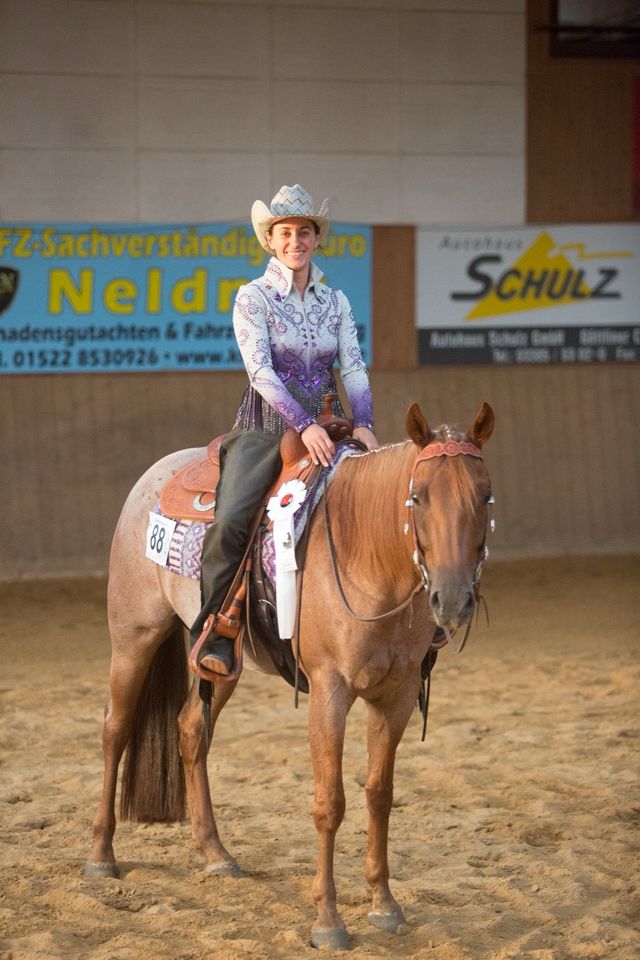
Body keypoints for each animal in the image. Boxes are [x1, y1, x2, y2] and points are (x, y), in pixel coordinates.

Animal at [85, 402, 496, 948]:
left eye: (485, 495)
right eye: (417, 495)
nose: (452, 600)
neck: (368, 556)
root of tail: (155, 474)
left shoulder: (399, 695)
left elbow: (379, 794)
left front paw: (385, 905)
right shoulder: (329, 691)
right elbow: (330, 802)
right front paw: (328, 920)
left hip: (221, 659)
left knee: (191, 729)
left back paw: (216, 854)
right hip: (134, 634)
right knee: (116, 728)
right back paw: (101, 855)